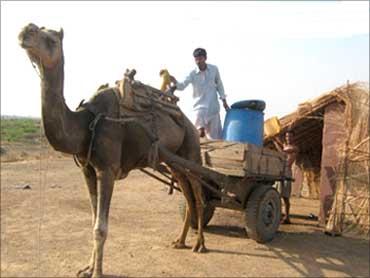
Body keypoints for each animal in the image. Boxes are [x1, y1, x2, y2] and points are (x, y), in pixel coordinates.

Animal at [18, 22, 207, 276]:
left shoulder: (107, 169)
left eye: (51, 40)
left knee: (198, 193)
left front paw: (97, 272)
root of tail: (189, 123)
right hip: (173, 161)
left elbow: (100, 227)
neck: (86, 122)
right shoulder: (87, 170)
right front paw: (87, 268)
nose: (25, 31)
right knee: (186, 193)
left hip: (191, 150)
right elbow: (93, 220)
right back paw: (180, 241)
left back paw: (200, 245)